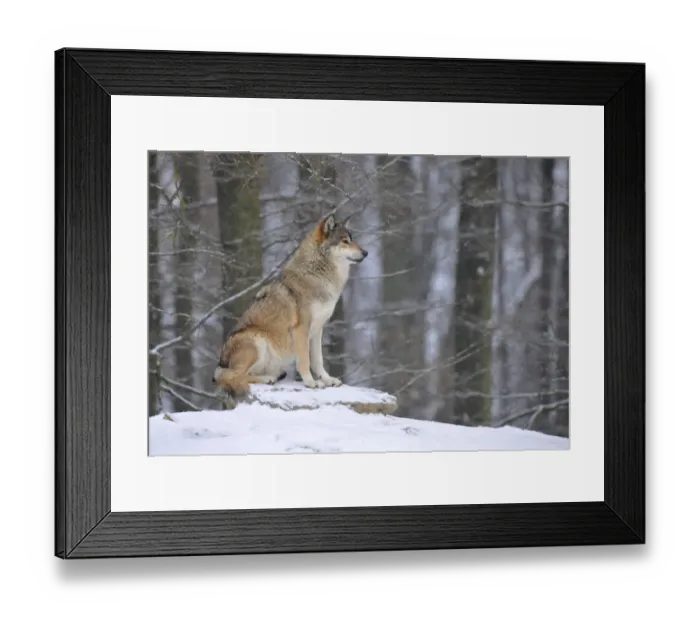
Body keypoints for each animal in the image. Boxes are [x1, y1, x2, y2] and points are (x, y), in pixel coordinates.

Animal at [213, 212, 368, 403]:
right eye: (344, 241)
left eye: (352, 239)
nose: (366, 253)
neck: (319, 274)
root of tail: (220, 364)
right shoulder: (301, 329)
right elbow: (305, 360)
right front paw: (311, 382)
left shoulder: (318, 329)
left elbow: (318, 360)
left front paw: (327, 379)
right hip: (256, 340)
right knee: (233, 377)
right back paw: (267, 379)